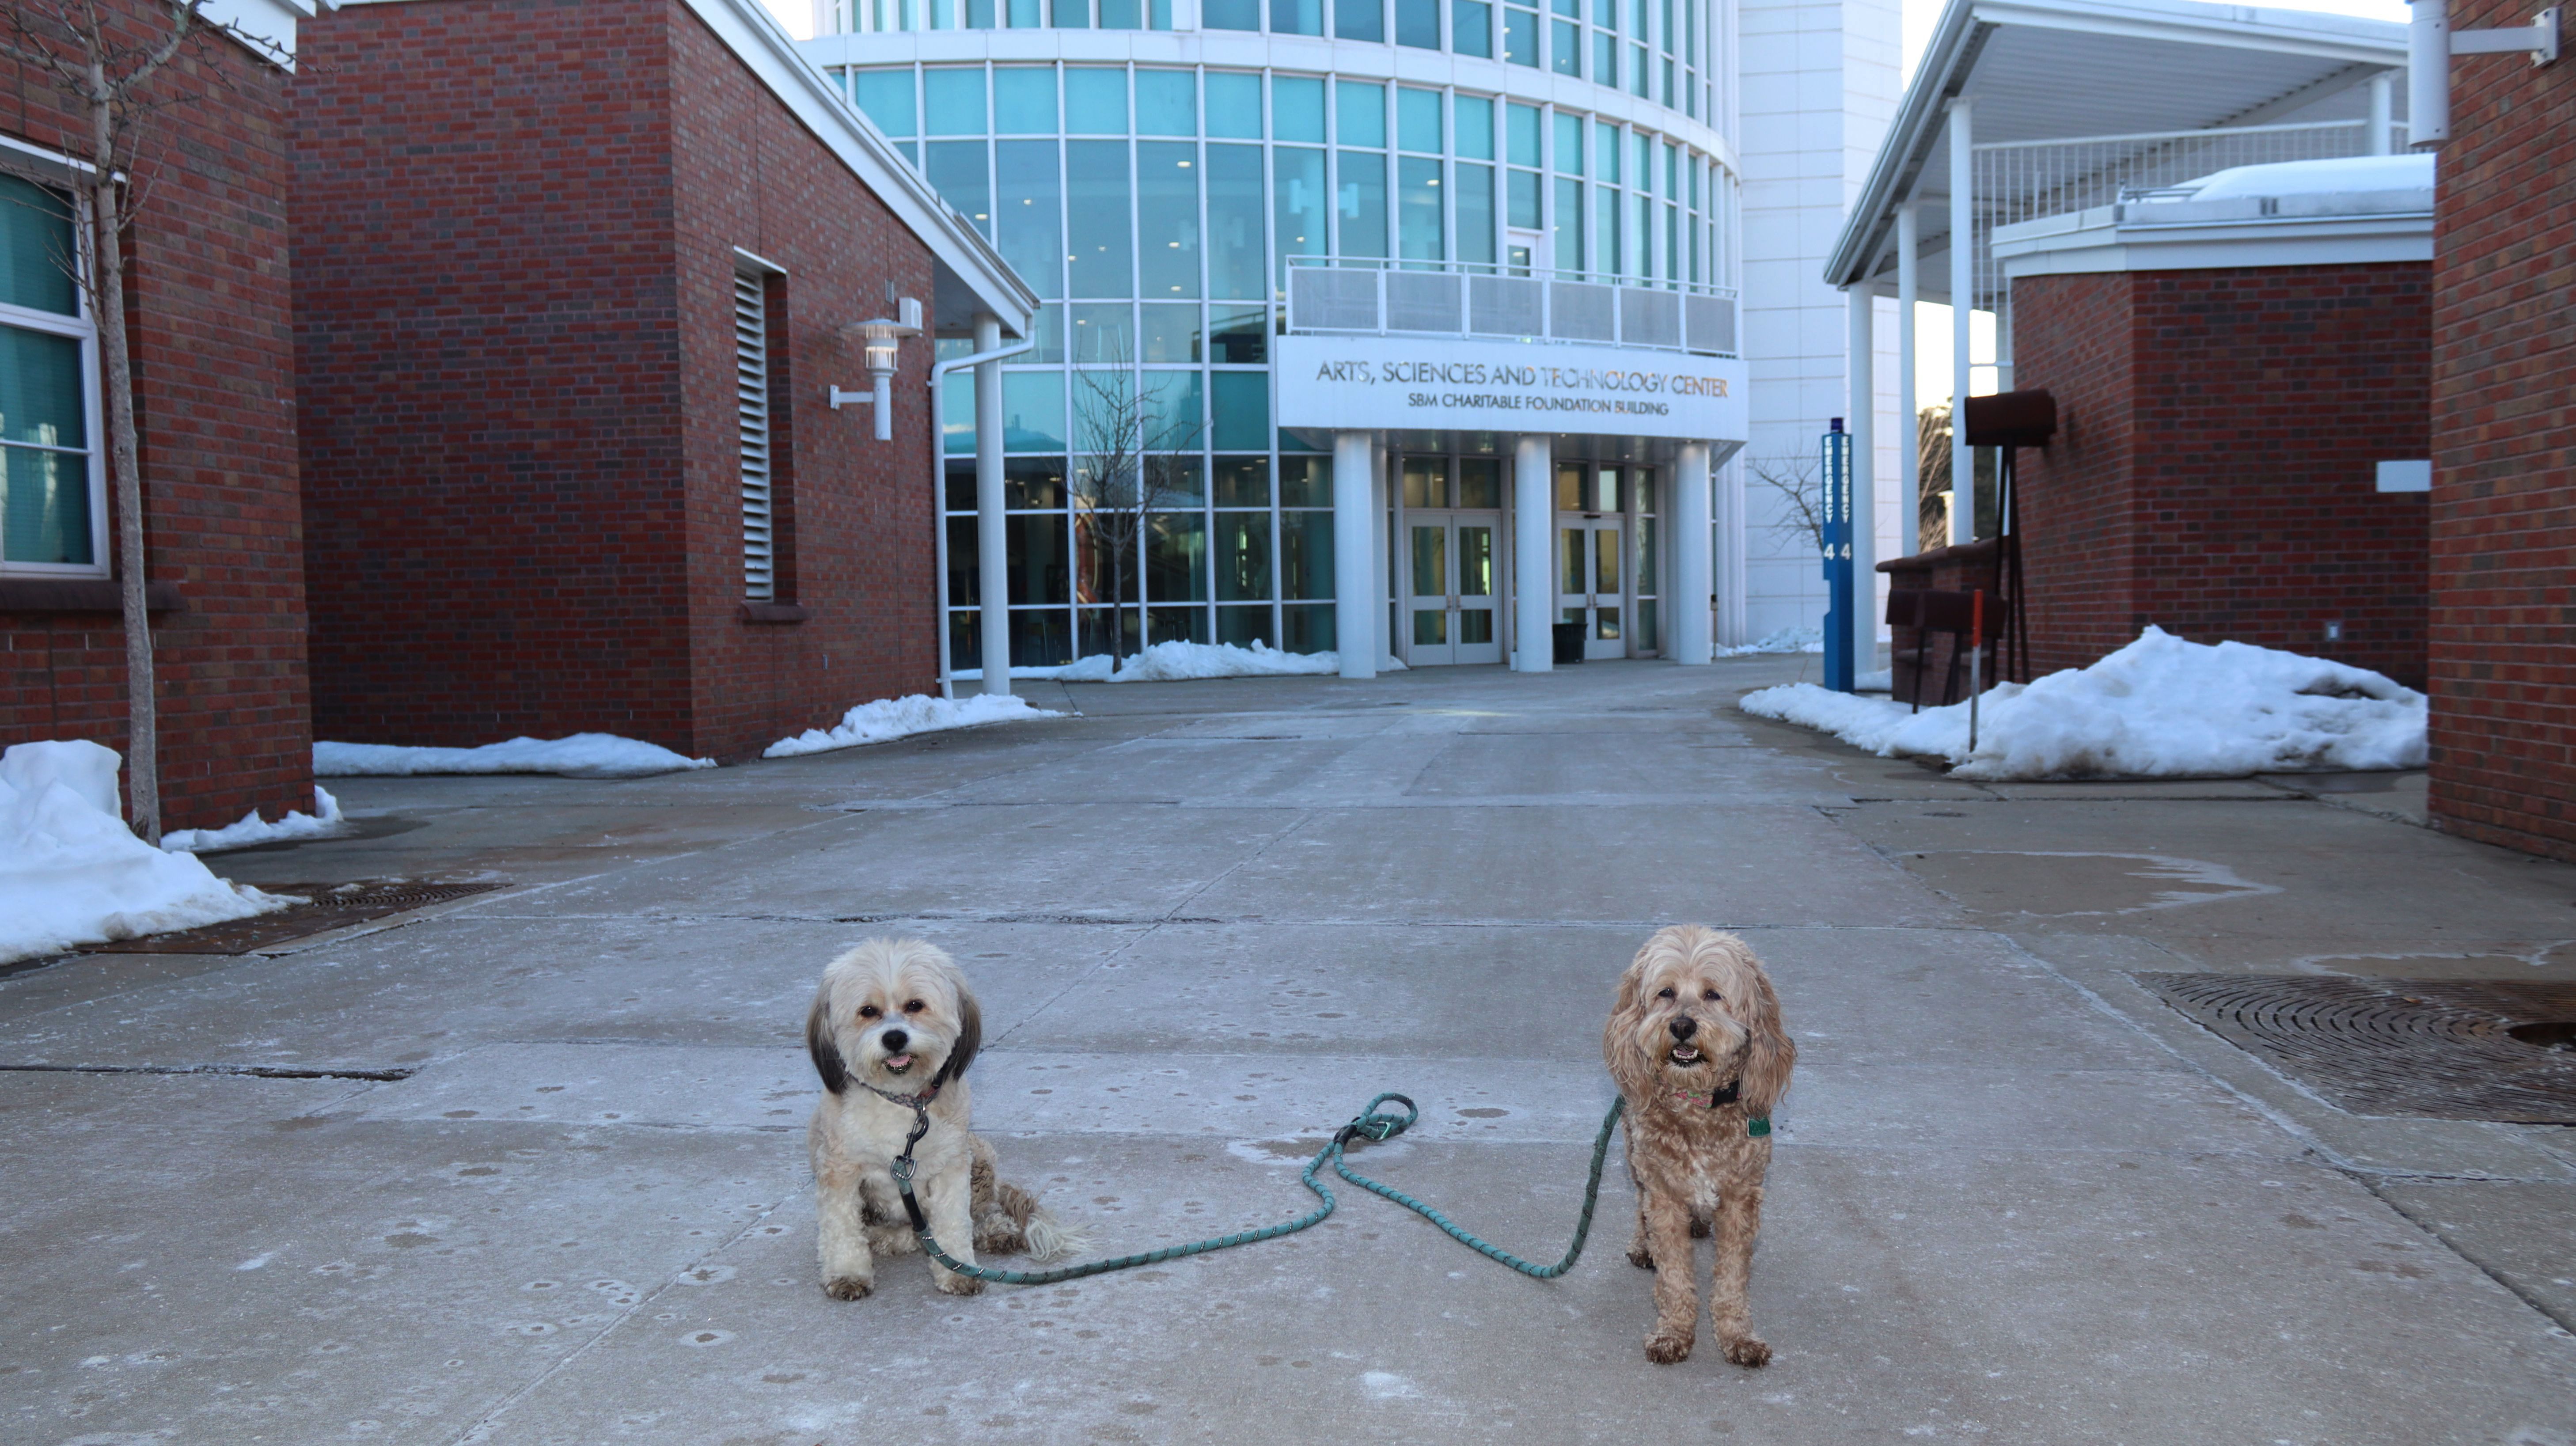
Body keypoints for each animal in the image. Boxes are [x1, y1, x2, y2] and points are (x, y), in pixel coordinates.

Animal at [805, 938, 1071, 1298]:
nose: (894, 1038)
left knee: (984, 1208)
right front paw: (848, 1273)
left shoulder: (951, 1164)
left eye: (915, 1005)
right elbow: (841, 1227)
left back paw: (995, 1230)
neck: (903, 1101)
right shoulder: (839, 1169)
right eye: (868, 1011)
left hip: (979, 1154)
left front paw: (957, 1271)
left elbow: (953, 1221)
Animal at [1602, 925, 1796, 1366]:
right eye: (1666, 992)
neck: (1697, 1102)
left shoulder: (1741, 1199)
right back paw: (1643, 1244)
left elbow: (1732, 1279)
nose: (1681, 1026)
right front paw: (1674, 1331)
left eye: (1712, 994)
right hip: (1634, 1153)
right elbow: (1674, 1274)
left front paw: (1737, 1334)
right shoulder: (1664, 1194)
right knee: (1639, 1201)